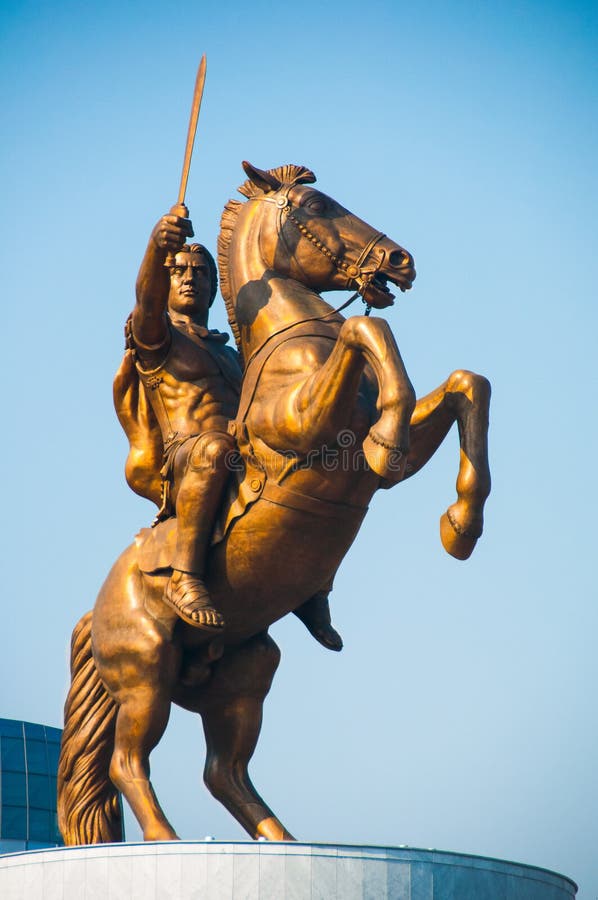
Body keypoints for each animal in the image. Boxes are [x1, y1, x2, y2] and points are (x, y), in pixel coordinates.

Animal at [57, 160, 492, 844]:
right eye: (315, 206)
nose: (401, 261)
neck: (293, 345)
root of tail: (95, 609)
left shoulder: (370, 466)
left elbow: (467, 383)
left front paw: (461, 526)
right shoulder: (303, 427)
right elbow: (369, 328)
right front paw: (391, 439)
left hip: (247, 671)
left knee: (223, 772)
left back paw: (284, 838)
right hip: (145, 668)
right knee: (130, 761)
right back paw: (169, 841)